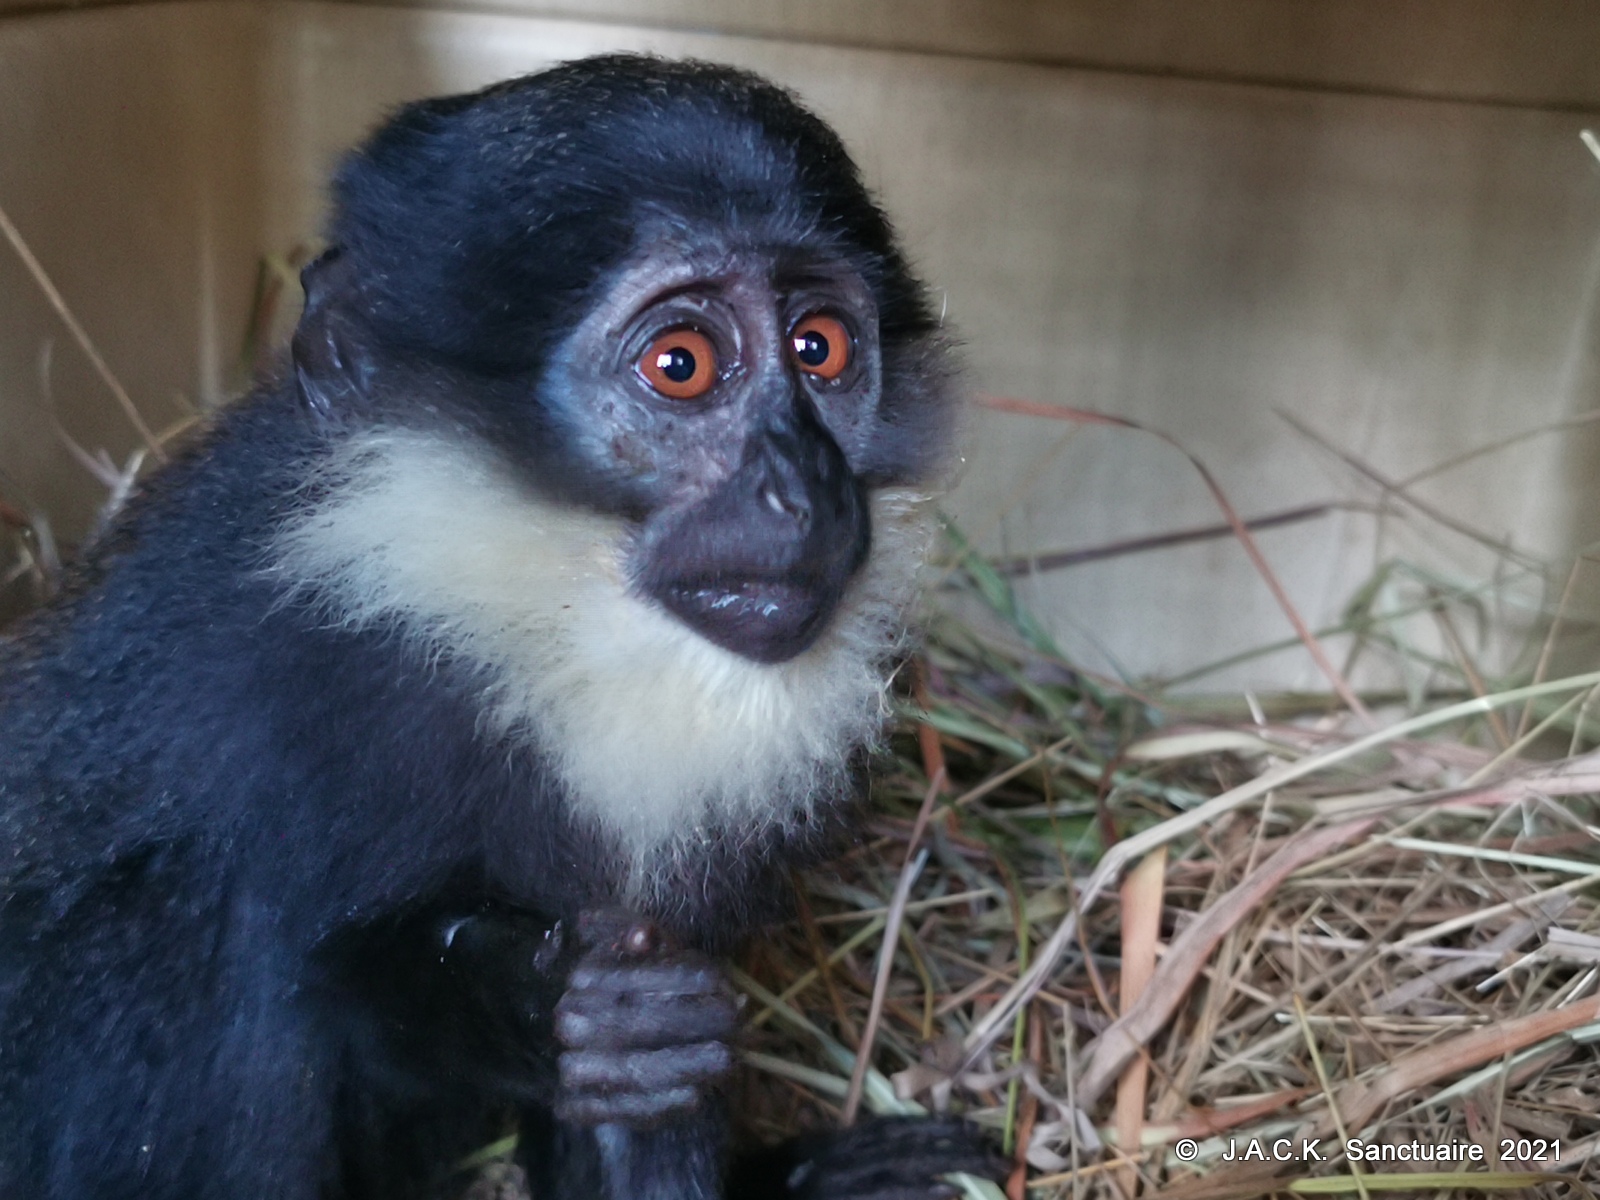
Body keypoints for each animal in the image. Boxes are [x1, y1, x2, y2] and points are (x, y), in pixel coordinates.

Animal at [0, 54, 992, 1200]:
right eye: (683, 364)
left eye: (818, 348)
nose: (807, 489)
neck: (516, 632)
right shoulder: (267, 674)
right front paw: (544, 1010)